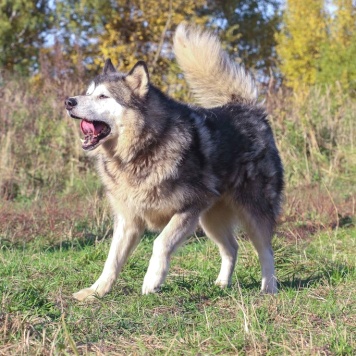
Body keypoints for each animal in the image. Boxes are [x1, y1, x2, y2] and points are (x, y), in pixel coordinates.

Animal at [65, 23, 284, 300]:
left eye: (103, 97)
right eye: (88, 93)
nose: (69, 101)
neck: (141, 151)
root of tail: (247, 108)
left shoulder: (189, 208)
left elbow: (161, 242)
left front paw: (152, 280)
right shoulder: (128, 220)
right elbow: (112, 260)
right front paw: (96, 291)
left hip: (252, 211)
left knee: (266, 250)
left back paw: (269, 289)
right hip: (210, 219)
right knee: (232, 248)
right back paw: (222, 284)